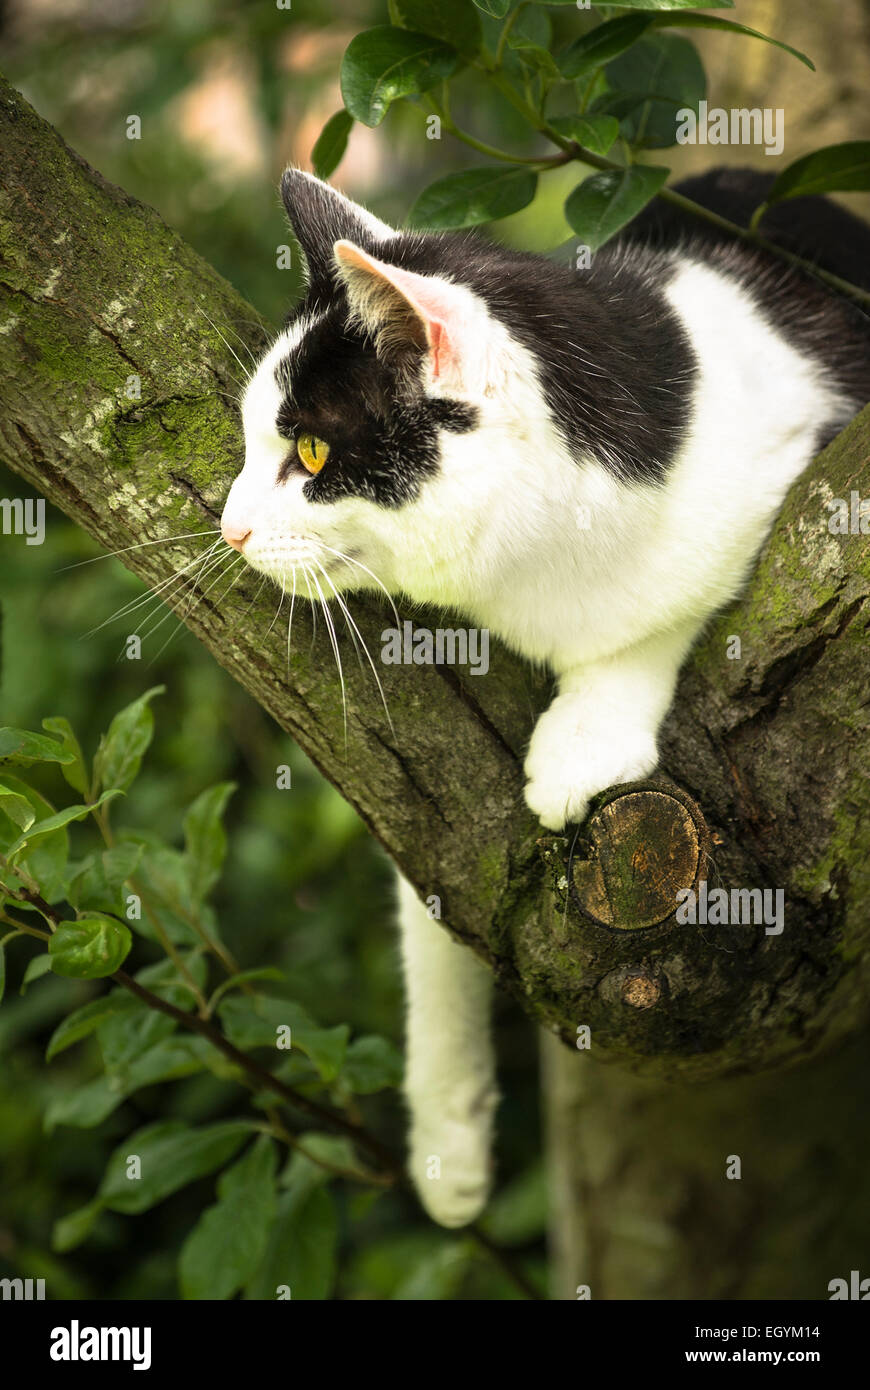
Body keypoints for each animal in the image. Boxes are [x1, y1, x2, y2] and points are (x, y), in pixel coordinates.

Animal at [219, 165, 867, 1228]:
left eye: (310, 455)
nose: (226, 526)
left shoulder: (805, 458)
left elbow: (667, 605)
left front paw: (584, 738)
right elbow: (428, 899)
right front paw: (447, 1144)